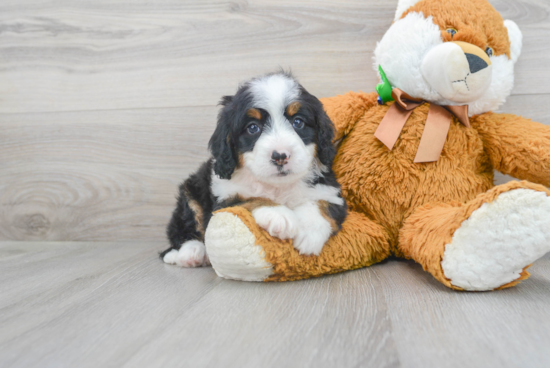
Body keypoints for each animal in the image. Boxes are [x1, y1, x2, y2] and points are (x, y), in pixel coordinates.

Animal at [162, 72, 348, 268]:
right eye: (253, 128)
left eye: (298, 122)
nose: (280, 156)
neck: (278, 186)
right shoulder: (225, 197)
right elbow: (250, 199)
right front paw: (279, 214)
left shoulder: (330, 190)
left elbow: (321, 204)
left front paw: (308, 231)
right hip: (190, 191)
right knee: (182, 228)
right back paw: (190, 253)